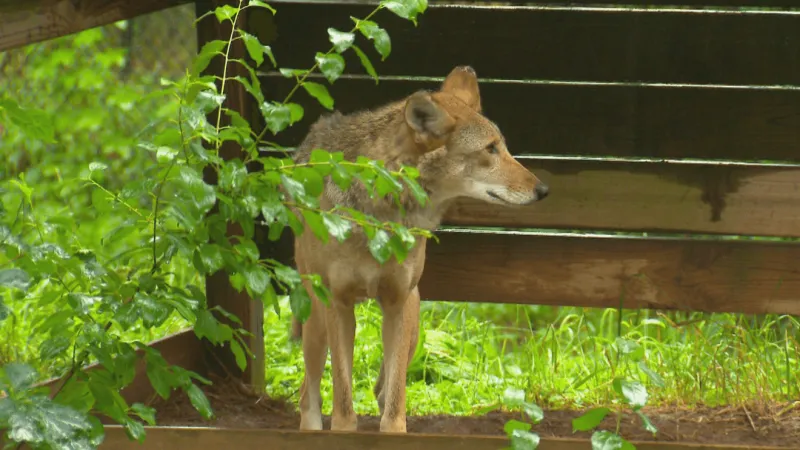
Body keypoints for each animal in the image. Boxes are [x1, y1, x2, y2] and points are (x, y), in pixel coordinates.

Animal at [289, 66, 549, 433]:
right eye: (490, 149)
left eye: (503, 147)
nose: (543, 190)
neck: (380, 213)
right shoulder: (338, 302)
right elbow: (343, 400)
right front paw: (343, 429)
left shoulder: (400, 299)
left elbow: (396, 399)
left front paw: (394, 429)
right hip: (317, 319)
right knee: (308, 392)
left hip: (412, 319)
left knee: (382, 386)